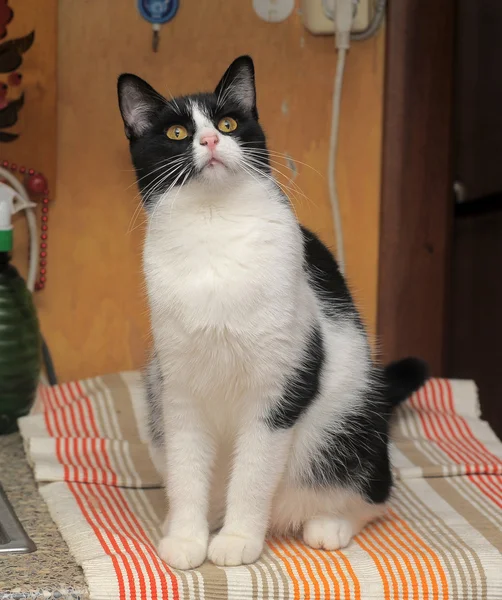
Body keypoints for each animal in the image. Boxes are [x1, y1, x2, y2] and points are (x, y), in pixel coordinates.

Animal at [117, 54, 428, 568]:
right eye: (177, 132)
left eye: (228, 123)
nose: (210, 140)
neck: (214, 227)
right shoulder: (178, 390)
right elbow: (186, 473)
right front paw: (186, 538)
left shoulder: (281, 386)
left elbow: (253, 475)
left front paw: (239, 540)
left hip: (350, 424)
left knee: (374, 497)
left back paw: (329, 523)